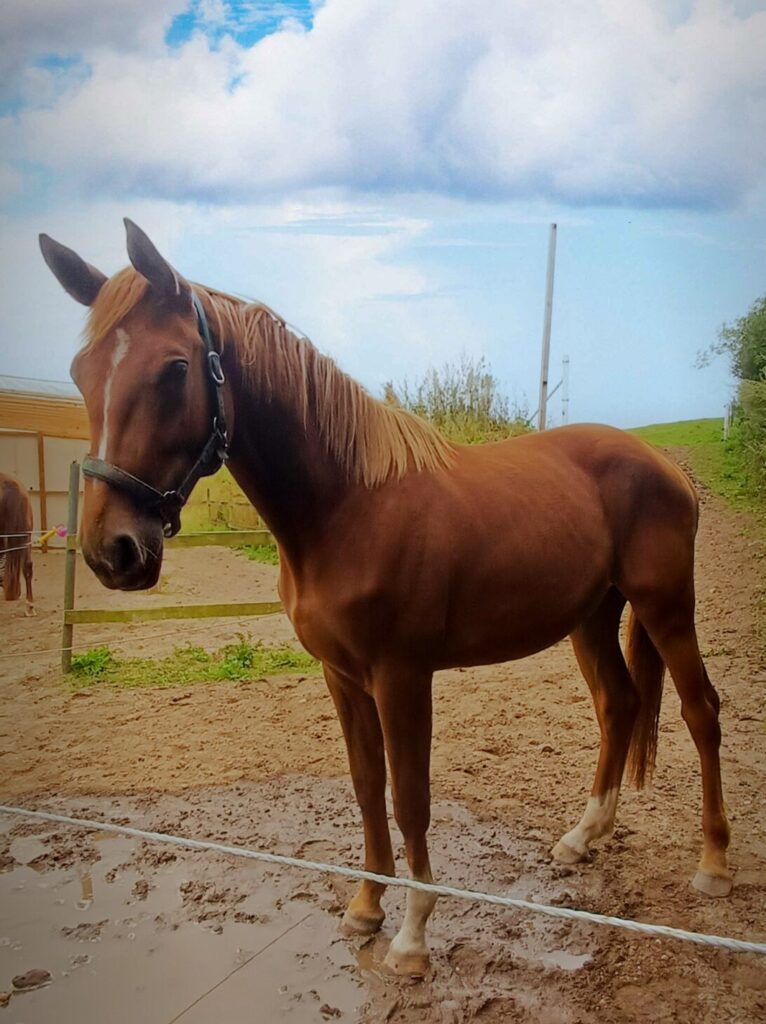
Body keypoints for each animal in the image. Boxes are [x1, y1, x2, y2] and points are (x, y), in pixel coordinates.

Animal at [39, 220, 731, 976]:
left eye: (174, 369)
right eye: (80, 373)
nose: (112, 551)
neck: (348, 506)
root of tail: (665, 466)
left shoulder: (402, 677)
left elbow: (410, 799)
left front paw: (412, 937)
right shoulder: (341, 676)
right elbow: (367, 787)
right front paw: (365, 909)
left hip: (666, 607)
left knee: (701, 712)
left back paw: (712, 864)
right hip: (593, 616)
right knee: (619, 704)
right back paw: (584, 837)